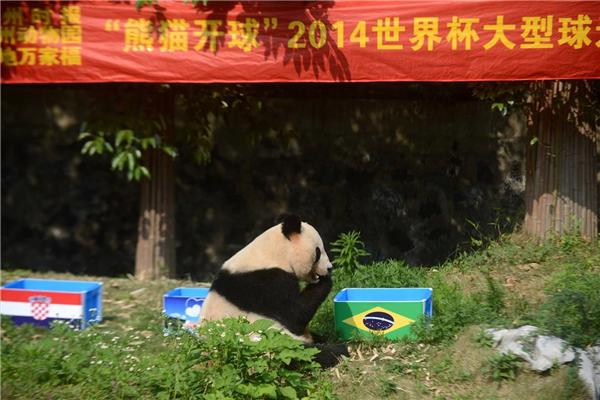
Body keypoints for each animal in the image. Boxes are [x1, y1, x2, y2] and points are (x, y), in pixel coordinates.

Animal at [200, 214, 332, 342]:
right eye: (318, 252)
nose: (329, 268)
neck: (276, 252)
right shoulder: (266, 283)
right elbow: (293, 314)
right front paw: (326, 281)